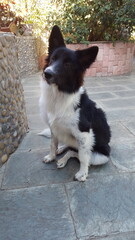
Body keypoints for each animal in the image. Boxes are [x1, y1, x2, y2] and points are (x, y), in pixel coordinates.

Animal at [39, 25, 110, 181]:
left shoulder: (84, 134)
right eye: (53, 59)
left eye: (67, 64)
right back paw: (61, 152)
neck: (60, 94)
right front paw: (52, 156)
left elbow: (83, 157)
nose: (47, 73)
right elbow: (52, 143)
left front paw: (82, 173)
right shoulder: (54, 127)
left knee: (77, 153)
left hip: (100, 156)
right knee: (70, 148)